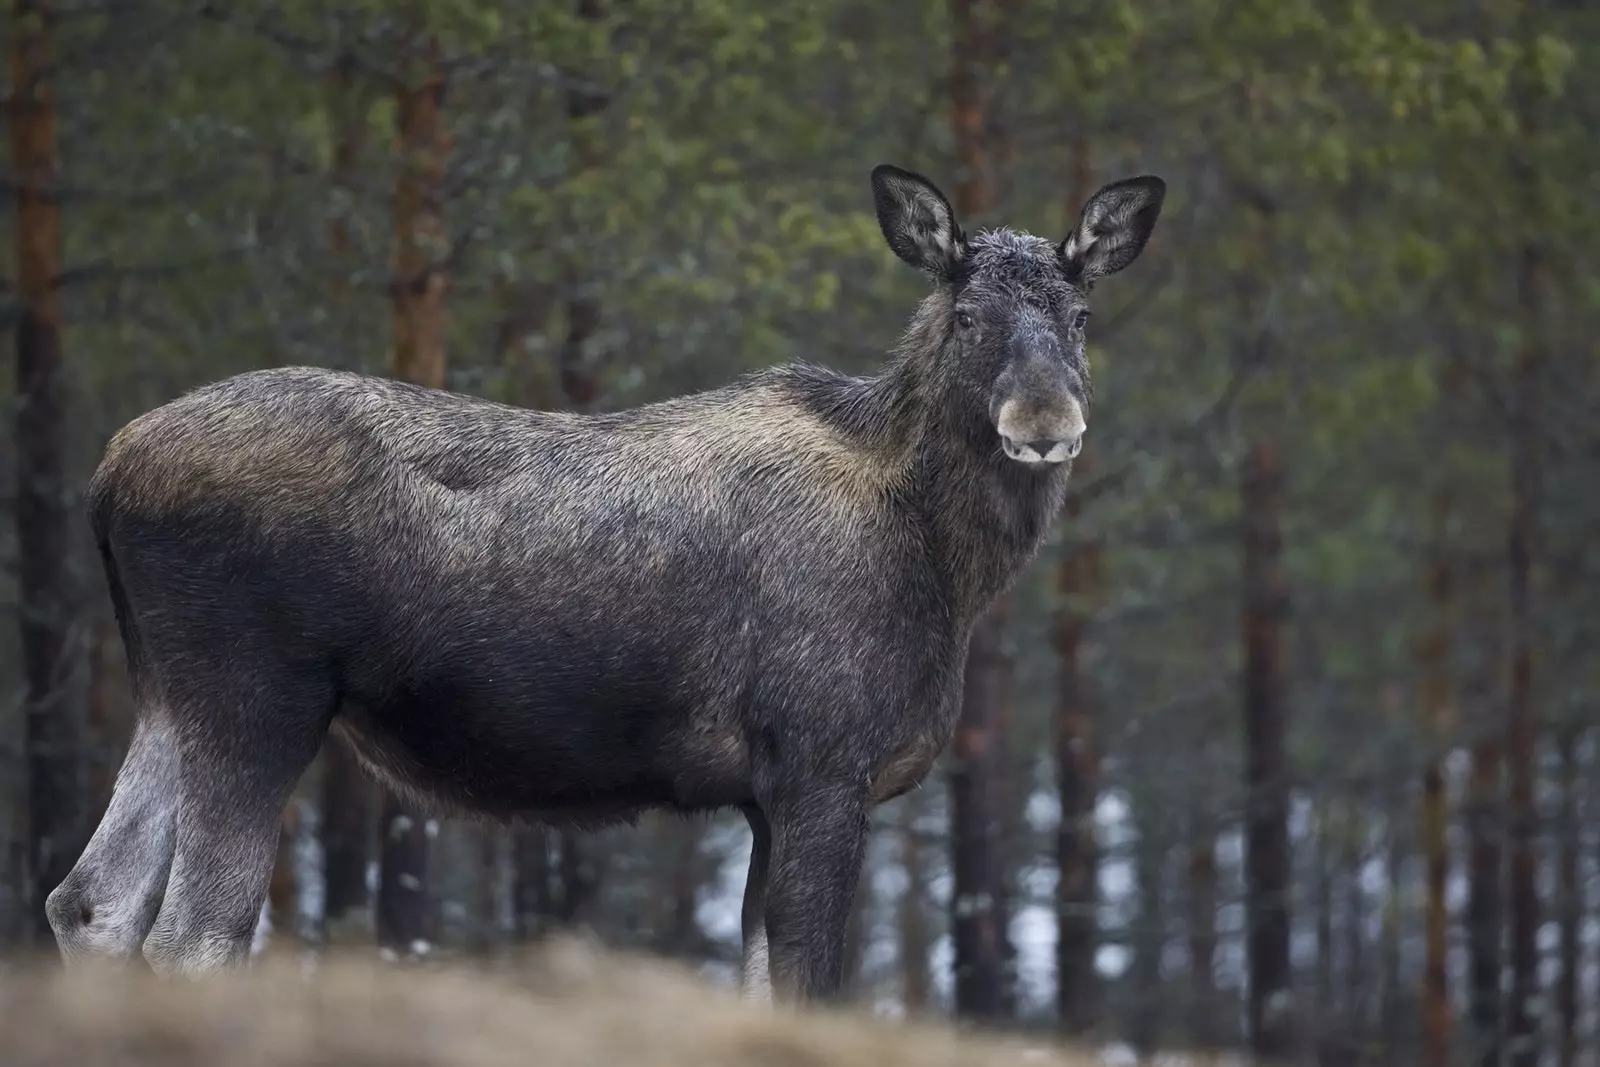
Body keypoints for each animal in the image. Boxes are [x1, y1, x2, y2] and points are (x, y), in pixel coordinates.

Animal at [40, 160, 1164, 1004]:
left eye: (1080, 312)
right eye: (966, 312)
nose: (1044, 420)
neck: (944, 561)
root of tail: (106, 475)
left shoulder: (765, 795)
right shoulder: (821, 765)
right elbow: (806, 985)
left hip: (169, 695)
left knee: (90, 899)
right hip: (258, 696)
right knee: (193, 933)